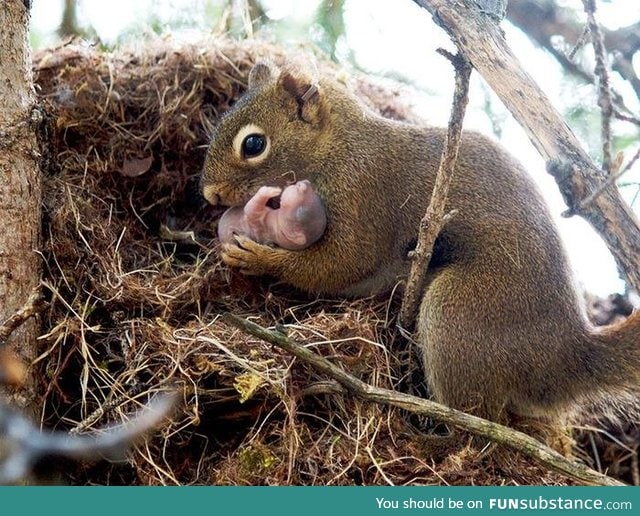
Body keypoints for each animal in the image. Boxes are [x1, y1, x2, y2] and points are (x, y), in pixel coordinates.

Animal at [204, 59, 640, 424]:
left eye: (254, 144)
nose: (209, 195)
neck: (338, 147)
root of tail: (567, 356)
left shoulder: (365, 193)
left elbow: (341, 264)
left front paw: (258, 257)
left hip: (459, 311)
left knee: (477, 420)